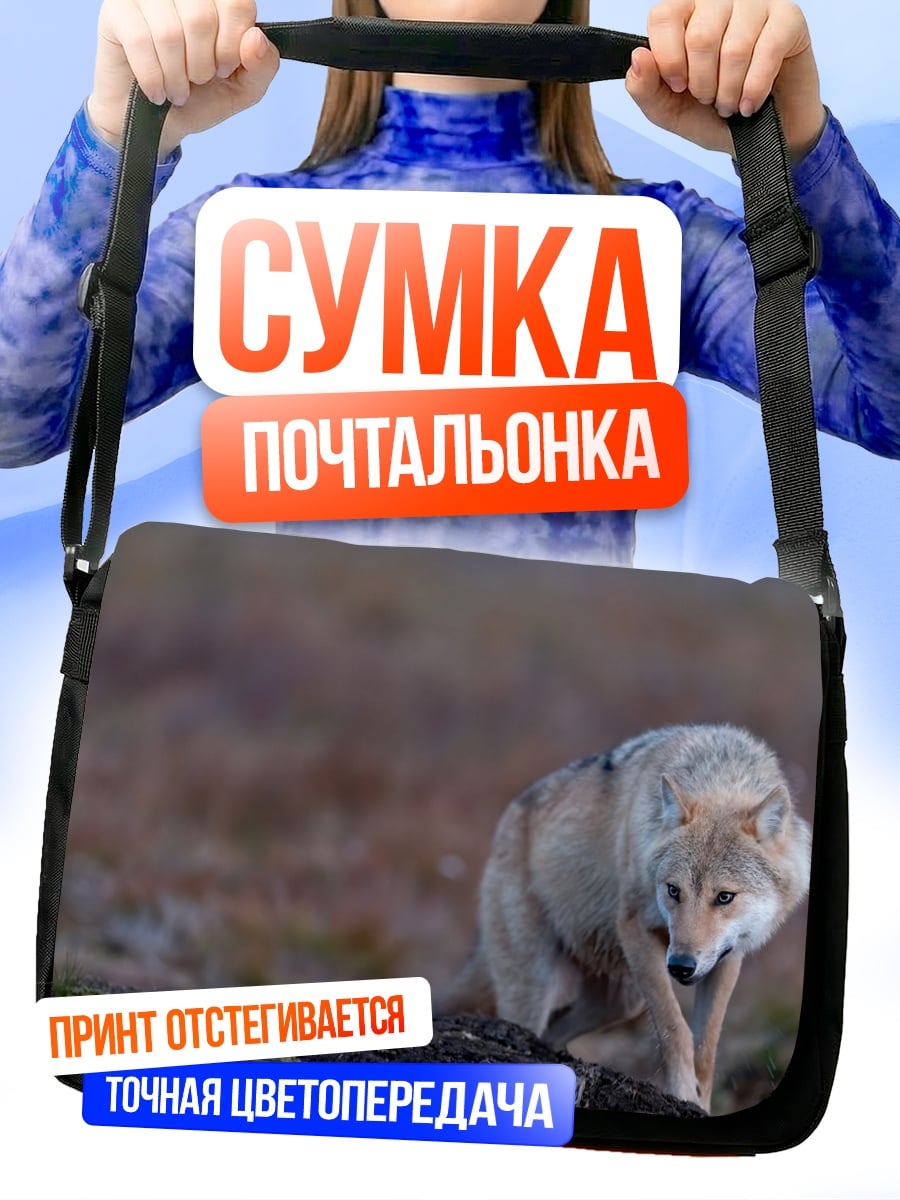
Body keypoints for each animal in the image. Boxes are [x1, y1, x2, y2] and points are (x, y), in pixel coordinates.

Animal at [439, 724, 812, 1111]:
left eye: (724, 897)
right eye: (673, 890)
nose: (681, 966)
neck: (721, 772)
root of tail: (508, 816)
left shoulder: (727, 958)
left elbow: (706, 1050)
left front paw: (701, 1106)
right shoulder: (636, 930)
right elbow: (674, 1029)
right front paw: (682, 1095)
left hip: (620, 1002)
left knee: (553, 1036)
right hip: (538, 987)